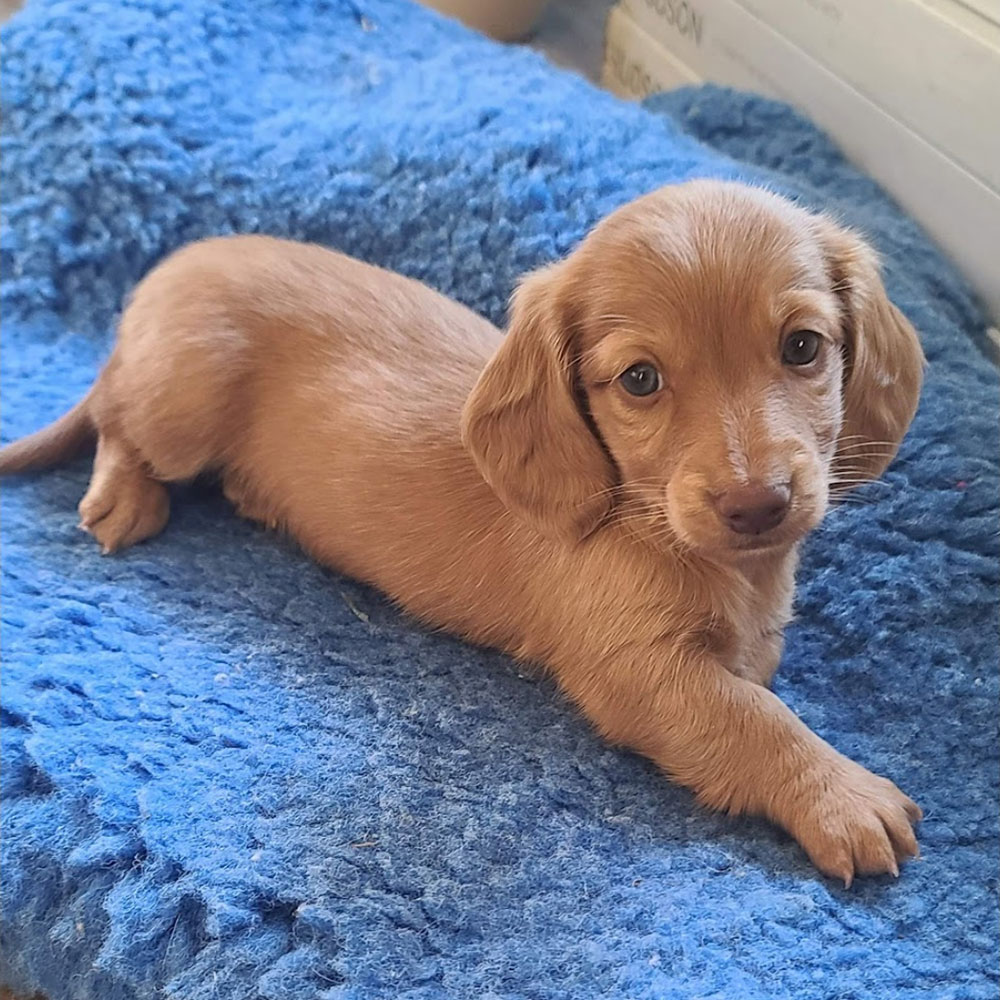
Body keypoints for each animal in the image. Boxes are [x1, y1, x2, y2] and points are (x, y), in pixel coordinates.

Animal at [0, 180, 924, 884]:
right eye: (640, 380)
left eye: (802, 347)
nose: (757, 504)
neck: (647, 516)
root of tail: (167, 271)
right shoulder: (639, 669)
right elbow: (753, 719)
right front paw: (840, 795)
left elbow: (757, 670)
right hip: (181, 402)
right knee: (116, 415)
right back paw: (123, 495)